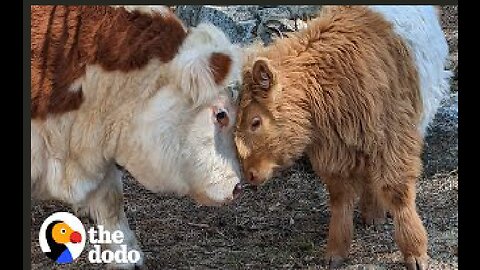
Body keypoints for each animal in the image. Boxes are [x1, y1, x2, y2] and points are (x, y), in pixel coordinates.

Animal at [234, 4, 452, 270]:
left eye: (255, 122)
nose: (250, 175)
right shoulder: (334, 152)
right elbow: (340, 198)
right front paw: (336, 252)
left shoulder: (393, 139)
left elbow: (397, 192)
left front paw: (416, 254)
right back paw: (372, 214)